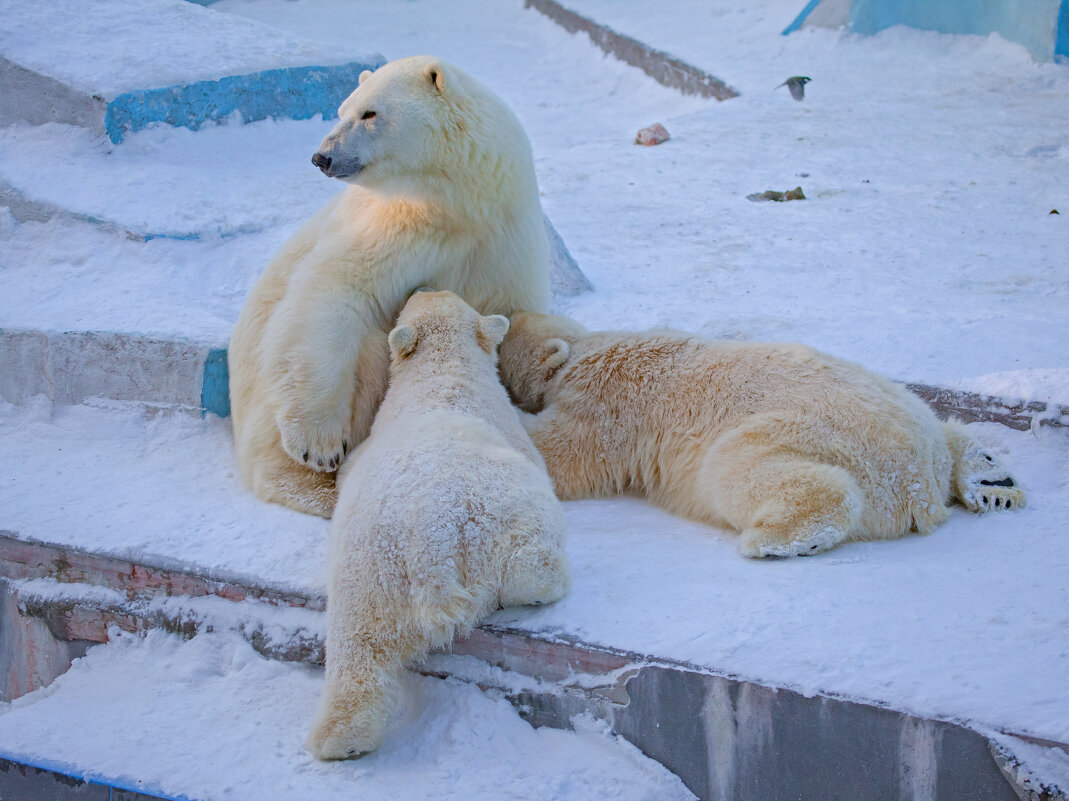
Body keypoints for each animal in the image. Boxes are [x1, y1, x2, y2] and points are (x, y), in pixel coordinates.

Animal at [231, 57, 551, 519]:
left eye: (370, 113)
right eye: (342, 109)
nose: (321, 156)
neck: (457, 203)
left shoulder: (502, 240)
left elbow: (510, 317)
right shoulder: (393, 224)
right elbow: (335, 293)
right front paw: (317, 446)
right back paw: (319, 490)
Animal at [305, 290, 572, 761]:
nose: (423, 289)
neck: (444, 370)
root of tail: (432, 544)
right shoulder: (512, 432)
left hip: (370, 565)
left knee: (355, 640)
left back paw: (340, 740)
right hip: (500, 522)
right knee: (533, 565)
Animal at [500, 312, 1026, 556]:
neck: (587, 347)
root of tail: (921, 486)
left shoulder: (607, 404)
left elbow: (560, 455)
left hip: (812, 436)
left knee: (738, 469)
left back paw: (776, 539)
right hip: (905, 403)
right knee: (947, 428)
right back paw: (992, 480)